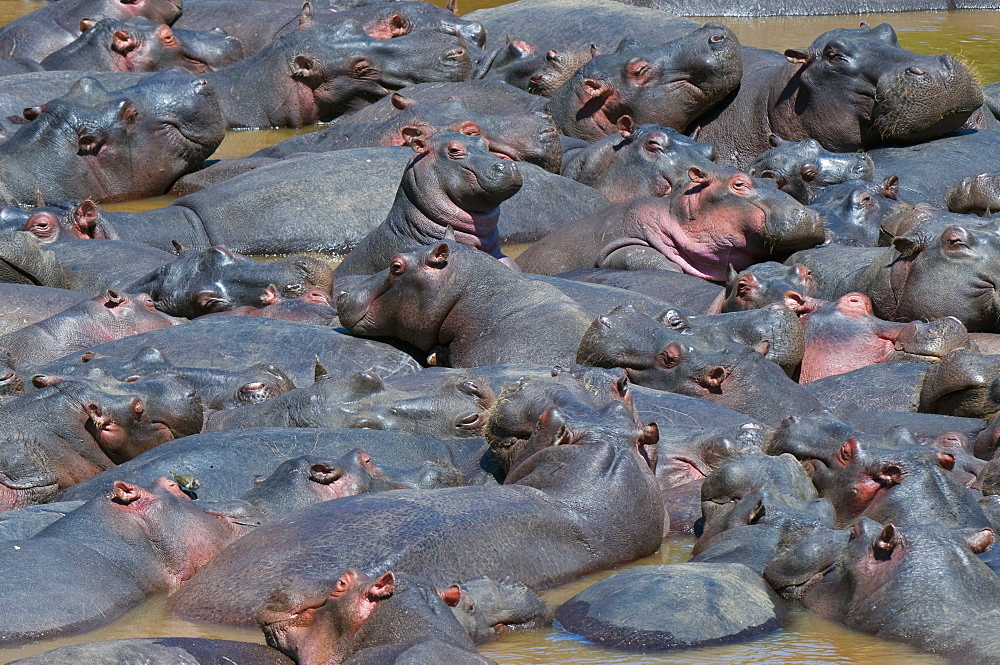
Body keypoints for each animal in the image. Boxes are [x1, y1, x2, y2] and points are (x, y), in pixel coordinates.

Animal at [516, 167, 820, 282]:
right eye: (739, 184)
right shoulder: (621, 242)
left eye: (773, 182)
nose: (810, 215)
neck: (678, 214)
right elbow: (659, 263)